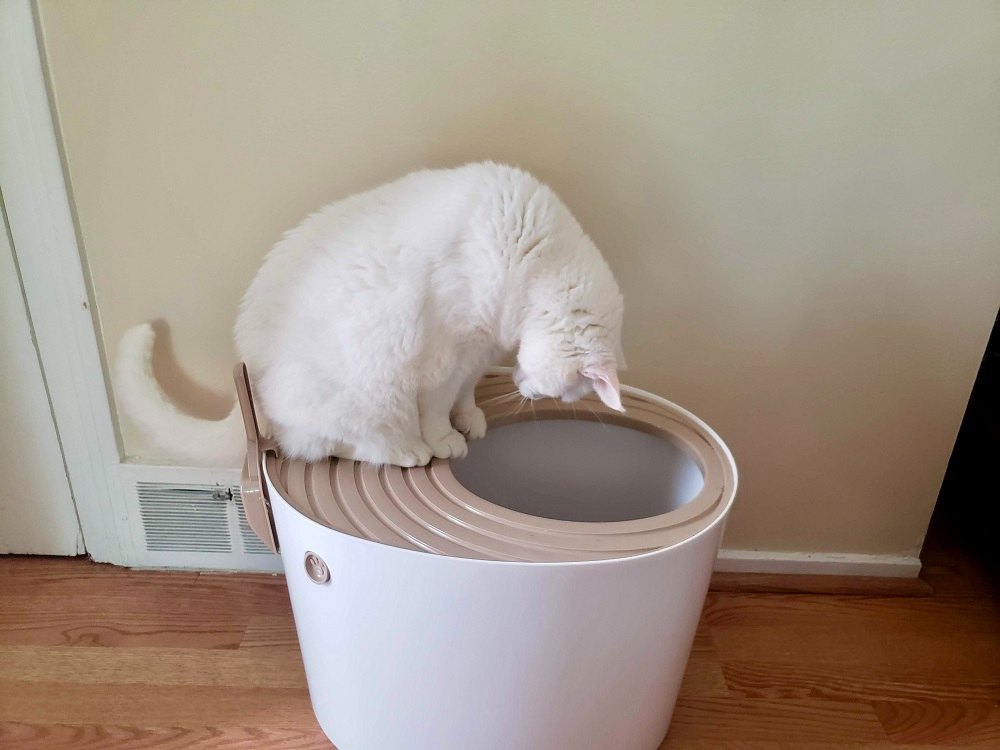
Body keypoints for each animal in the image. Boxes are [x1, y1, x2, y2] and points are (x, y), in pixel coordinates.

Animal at [119, 164, 624, 468]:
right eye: (566, 393)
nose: (525, 391)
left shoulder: (477, 353)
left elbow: (465, 394)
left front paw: (471, 418)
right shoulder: (446, 356)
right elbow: (438, 407)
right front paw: (445, 439)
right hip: (367, 388)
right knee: (337, 443)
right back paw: (408, 450)